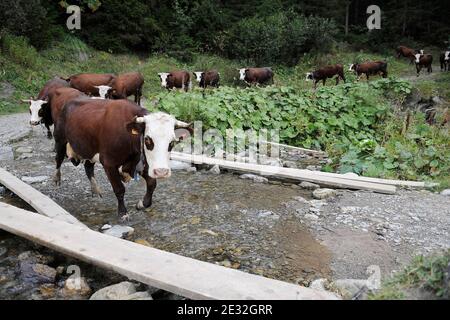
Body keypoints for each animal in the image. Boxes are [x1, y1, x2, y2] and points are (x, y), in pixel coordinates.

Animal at [54, 98, 192, 218]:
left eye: (172, 142)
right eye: (147, 139)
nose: (161, 172)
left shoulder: (139, 163)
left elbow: (152, 184)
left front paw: (142, 204)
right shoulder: (108, 163)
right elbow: (119, 189)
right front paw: (123, 213)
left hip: (90, 150)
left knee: (88, 167)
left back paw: (95, 190)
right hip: (60, 140)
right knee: (58, 160)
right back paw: (56, 179)